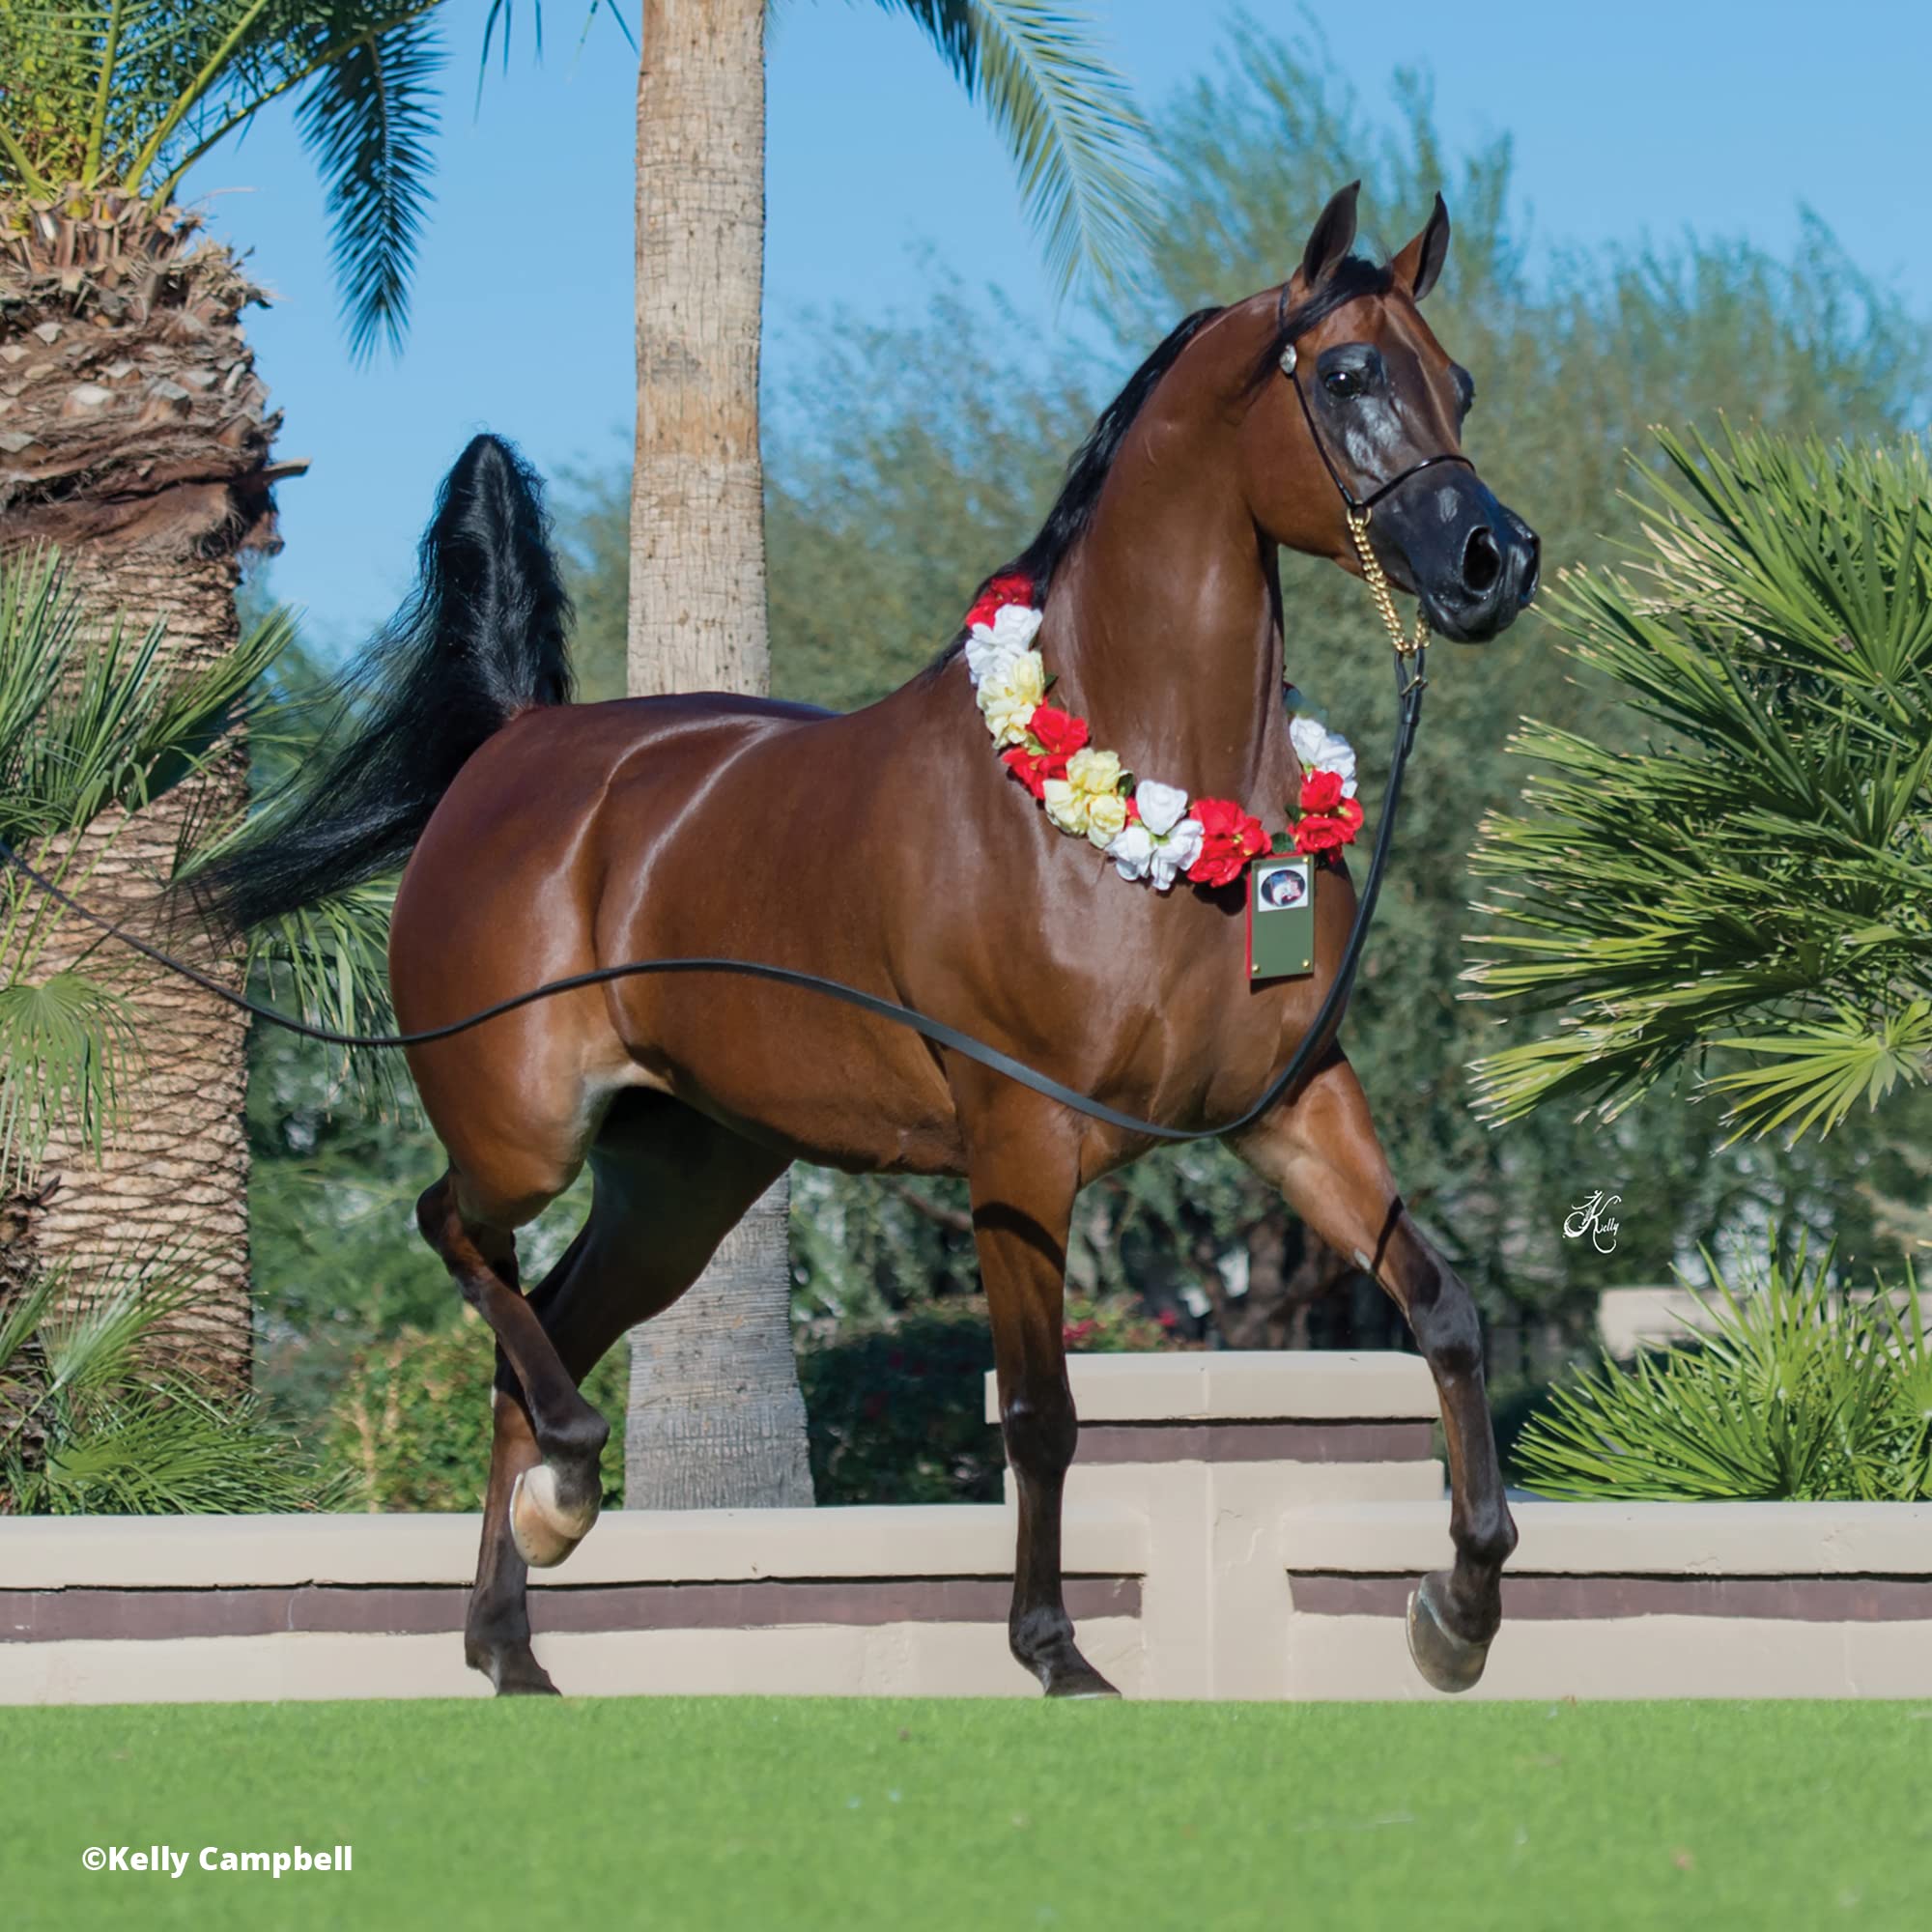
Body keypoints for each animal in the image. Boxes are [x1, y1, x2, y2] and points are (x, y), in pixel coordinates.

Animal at [201, 182, 1540, 1699]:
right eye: (1351, 374)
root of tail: (519, 747)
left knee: (538, 1333)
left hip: (680, 1182)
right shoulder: (1020, 1143)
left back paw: (514, 1633)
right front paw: (1056, 1655)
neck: (1141, 801)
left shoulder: (1294, 1108)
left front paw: (1458, 1611)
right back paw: (567, 1490)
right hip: (521, 1127)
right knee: (457, 1239)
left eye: (1458, 382)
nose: (1494, 563)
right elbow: (1041, 1411)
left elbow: (1444, 1310)